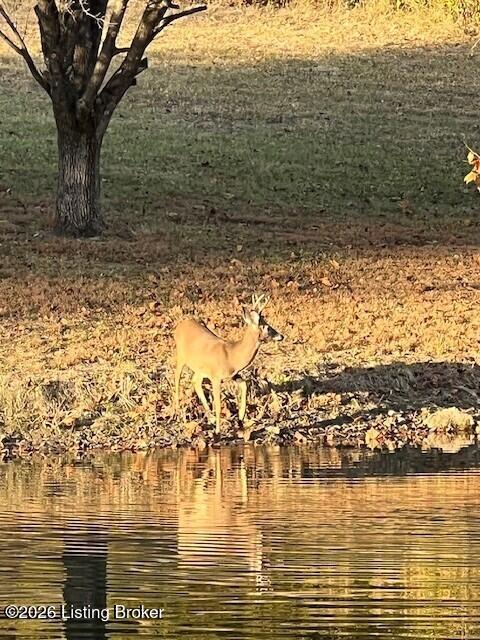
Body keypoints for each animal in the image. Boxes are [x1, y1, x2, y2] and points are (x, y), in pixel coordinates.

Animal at [173, 294, 283, 434]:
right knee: (177, 379)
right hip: (181, 356)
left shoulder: (233, 374)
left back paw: (210, 418)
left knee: (195, 381)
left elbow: (244, 385)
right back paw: (179, 412)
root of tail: (180, 325)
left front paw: (241, 418)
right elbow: (219, 405)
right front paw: (217, 430)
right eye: (267, 327)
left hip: (200, 368)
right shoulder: (215, 377)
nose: (281, 336)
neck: (232, 355)